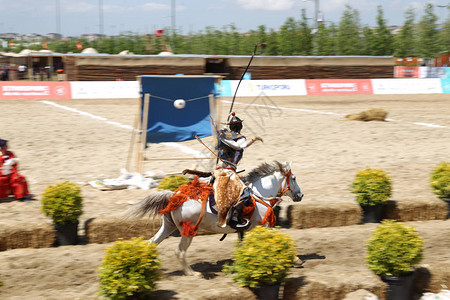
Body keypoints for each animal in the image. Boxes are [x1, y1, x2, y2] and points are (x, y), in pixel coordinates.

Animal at [125, 161, 304, 276]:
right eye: (294, 178)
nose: (300, 195)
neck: (259, 194)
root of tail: (174, 196)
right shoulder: (266, 225)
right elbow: (281, 237)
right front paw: (296, 259)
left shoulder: (244, 230)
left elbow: (241, 244)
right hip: (188, 231)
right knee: (179, 251)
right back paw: (191, 273)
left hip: (168, 226)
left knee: (152, 243)